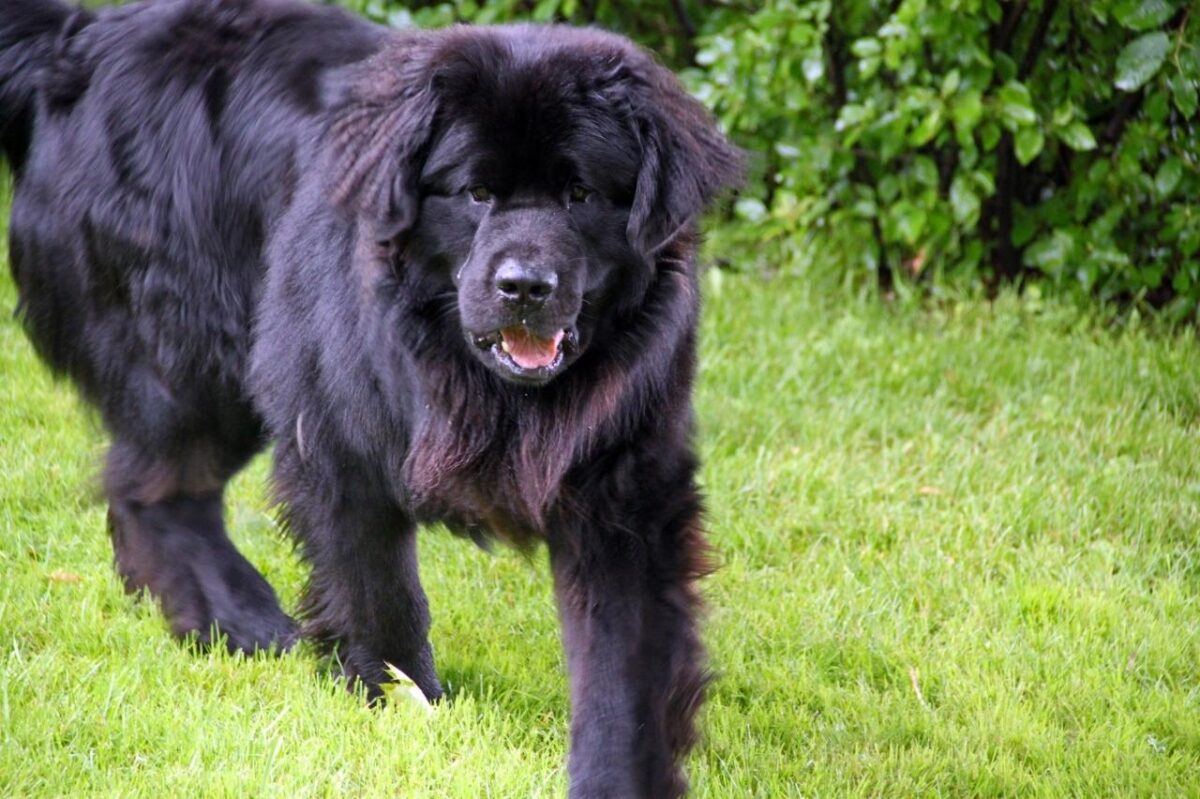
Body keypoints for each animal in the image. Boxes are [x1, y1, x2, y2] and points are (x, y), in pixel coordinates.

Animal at [2, 0, 739, 791]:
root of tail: (85, 40)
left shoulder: (625, 480)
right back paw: (244, 619)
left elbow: (623, 665)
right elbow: (380, 589)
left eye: (581, 195)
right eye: (476, 192)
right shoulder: (337, 432)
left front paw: (620, 776)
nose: (524, 285)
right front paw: (401, 700)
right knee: (157, 484)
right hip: (197, 344)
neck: (484, 389)